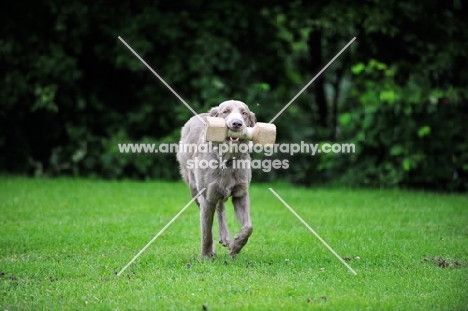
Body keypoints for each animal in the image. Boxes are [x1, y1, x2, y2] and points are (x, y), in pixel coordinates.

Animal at [176, 101, 256, 260]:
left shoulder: (240, 194)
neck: (226, 160)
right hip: (194, 187)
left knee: (220, 208)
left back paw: (225, 237)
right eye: (226, 111)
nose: (237, 124)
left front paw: (236, 246)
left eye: (244, 113)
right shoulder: (207, 197)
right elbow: (206, 232)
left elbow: (248, 227)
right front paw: (207, 255)